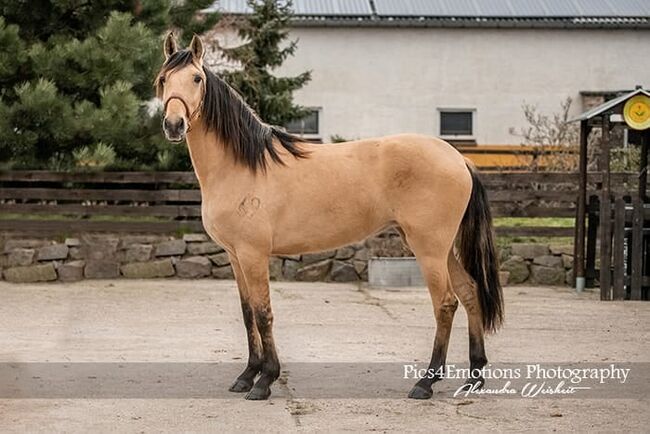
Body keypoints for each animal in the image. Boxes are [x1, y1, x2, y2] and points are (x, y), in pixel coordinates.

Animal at [156, 34, 502, 400]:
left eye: (197, 79)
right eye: (163, 79)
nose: (174, 125)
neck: (242, 166)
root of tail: (458, 158)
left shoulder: (253, 254)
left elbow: (263, 314)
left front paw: (265, 381)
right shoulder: (236, 256)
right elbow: (248, 313)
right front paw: (247, 375)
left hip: (429, 248)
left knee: (446, 303)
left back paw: (426, 382)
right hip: (441, 247)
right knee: (469, 292)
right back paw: (474, 377)